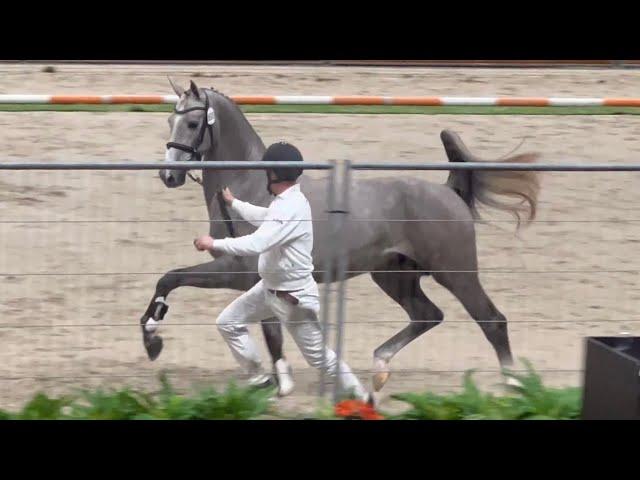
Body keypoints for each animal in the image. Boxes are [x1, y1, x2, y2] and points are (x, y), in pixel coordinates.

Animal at [141, 79, 540, 392]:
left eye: (193, 122)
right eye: (170, 120)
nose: (168, 176)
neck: (255, 188)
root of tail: (447, 191)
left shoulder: (236, 271)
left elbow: (169, 278)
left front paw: (152, 340)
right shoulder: (256, 281)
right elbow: (269, 331)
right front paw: (275, 379)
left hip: (456, 274)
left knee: (492, 321)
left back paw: (513, 384)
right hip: (393, 276)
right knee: (428, 315)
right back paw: (379, 367)